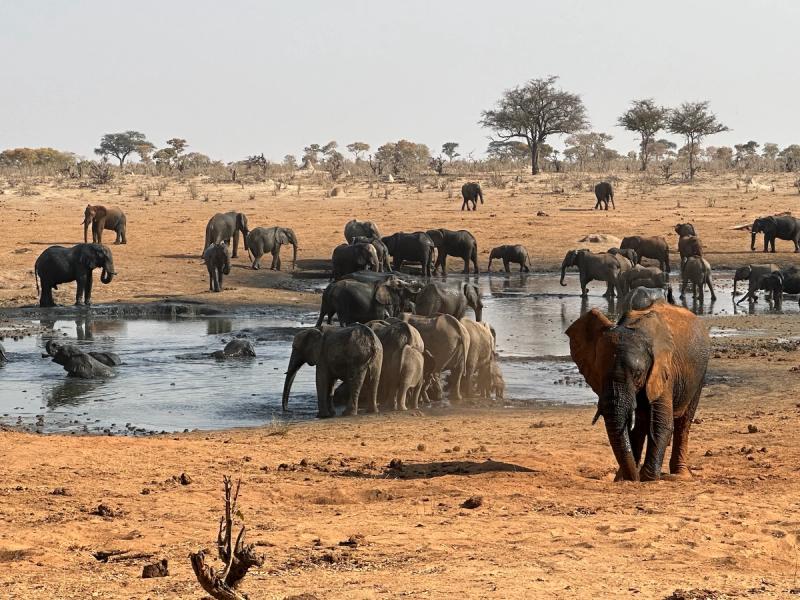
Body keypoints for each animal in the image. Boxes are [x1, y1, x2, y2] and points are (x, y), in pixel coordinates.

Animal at [566, 301, 710, 481]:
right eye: (599, 373)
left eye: (637, 375)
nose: (633, 477)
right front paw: (625, 478)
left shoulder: (664, 371)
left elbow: (661, 423)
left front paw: (647, 478)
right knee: (641, 422)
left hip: (699, 374)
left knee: (684, 423)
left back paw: (680, 475)